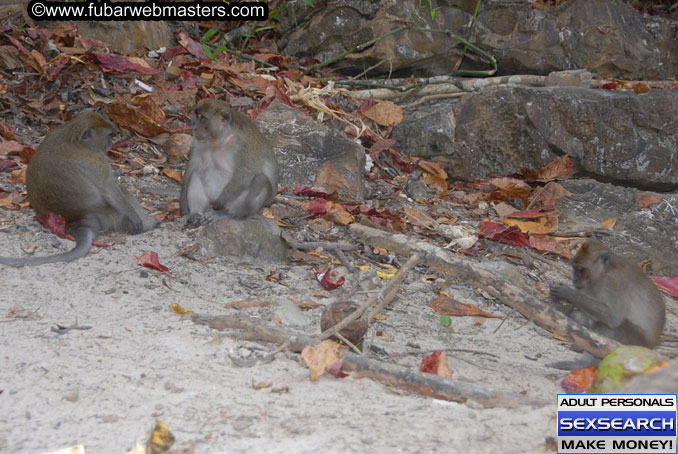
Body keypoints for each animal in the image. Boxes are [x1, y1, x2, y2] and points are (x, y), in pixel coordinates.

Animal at [0, 111, 161, 266]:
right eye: (108, 135)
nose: (111, 142)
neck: (75, 139)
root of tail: (79, 221)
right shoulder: (97, 160)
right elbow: (111, 191)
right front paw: (136, 219)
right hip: (112, 216)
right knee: (123, 193)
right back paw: (147, 224)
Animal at [548, 239, 668, 368]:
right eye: (574, 267)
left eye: (580, 269)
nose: (574, 279)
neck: (605, 271)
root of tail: (650, 347)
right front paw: (560, 305)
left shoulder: (613, 283)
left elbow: (613, 317)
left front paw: (567, 294)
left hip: (633, 343)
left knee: (609, 330)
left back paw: (583, 363)